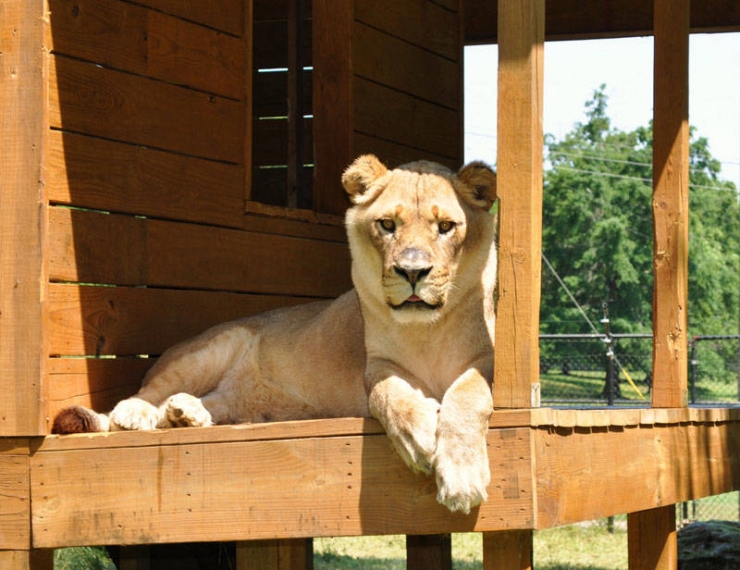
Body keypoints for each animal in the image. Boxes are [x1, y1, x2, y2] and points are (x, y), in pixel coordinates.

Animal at [52, 155, 497, 514]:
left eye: (446, 227)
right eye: (387, 225)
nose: (412, 271)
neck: (427, 330)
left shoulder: (486, 361)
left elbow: (467, 396)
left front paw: (460, 480)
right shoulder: (376, 365)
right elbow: (389, 395)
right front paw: (421, 436)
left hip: (240, 400)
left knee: (211, 404)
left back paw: (186, 414)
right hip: (212, 348)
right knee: (142, 397)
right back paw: (137, 413)